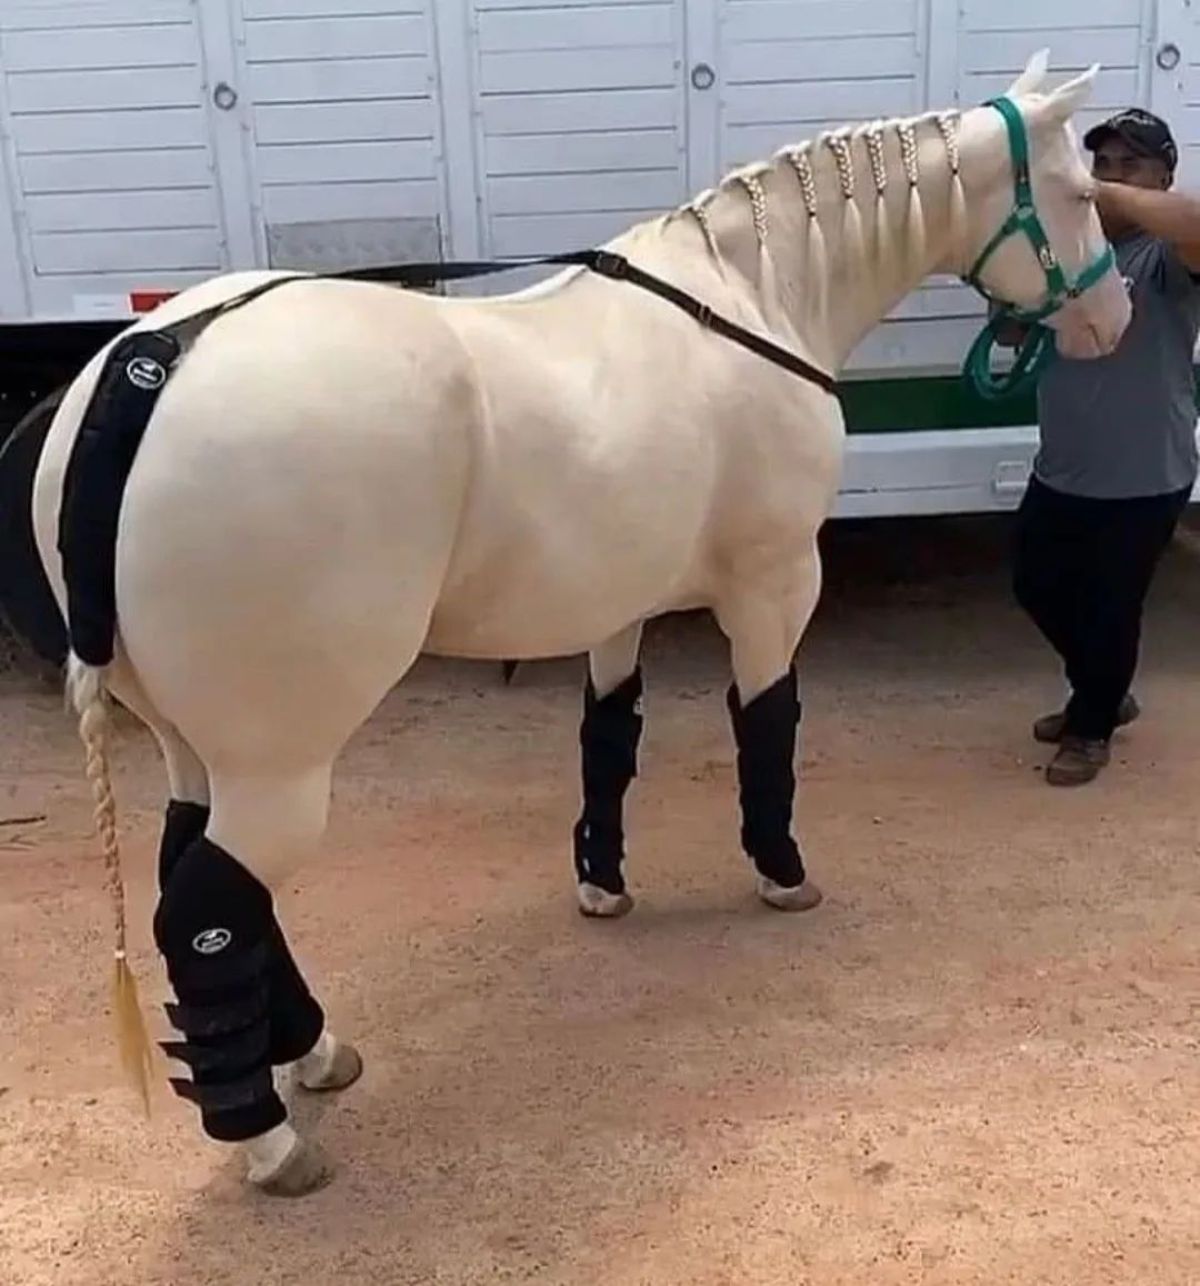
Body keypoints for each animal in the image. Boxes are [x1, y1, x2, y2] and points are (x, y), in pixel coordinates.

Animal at [30, 50, 1131, 1193]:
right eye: (1079, 192)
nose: (1113, 320)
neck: (749, 299)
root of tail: (154, 364)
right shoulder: (776, 585)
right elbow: (767, 727)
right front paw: (780, 870)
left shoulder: (619, 603)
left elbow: (610, 736)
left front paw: (604, 882)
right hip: (279, 761)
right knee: (206, 906)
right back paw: (269, 1134)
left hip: (191, 742)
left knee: (198, 871)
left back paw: (316, 1050)